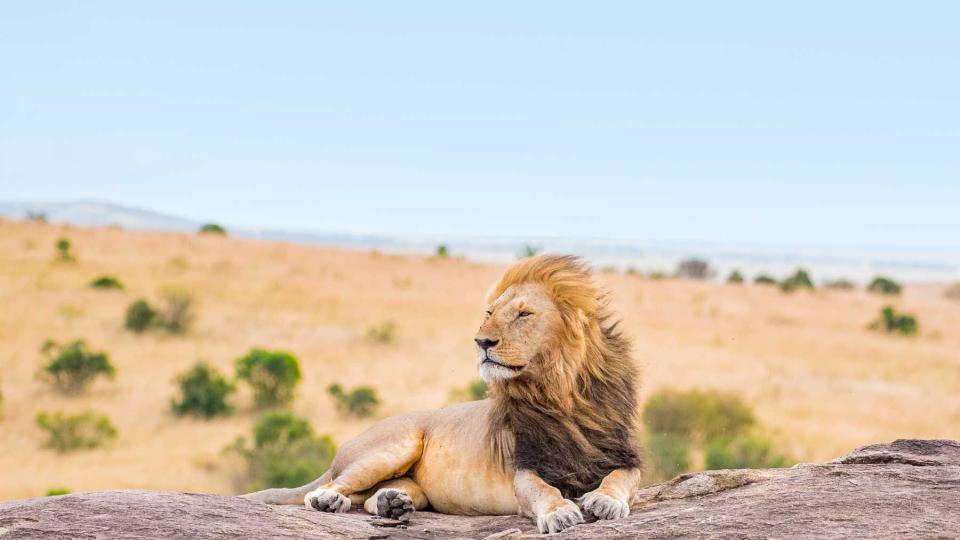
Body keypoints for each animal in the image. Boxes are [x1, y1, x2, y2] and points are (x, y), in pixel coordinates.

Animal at [244, 255, 640, 532]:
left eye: (524, 314)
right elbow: (542, 490)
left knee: (369, 497)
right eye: (490, 312)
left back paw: (390, 503)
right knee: (328, 487)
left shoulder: (622, 455)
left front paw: (605, 501)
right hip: (393, 446)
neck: (560, 392)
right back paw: (330, 500)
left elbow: (621, 478)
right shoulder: (524, 467)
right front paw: (560, 513)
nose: (481, 341)